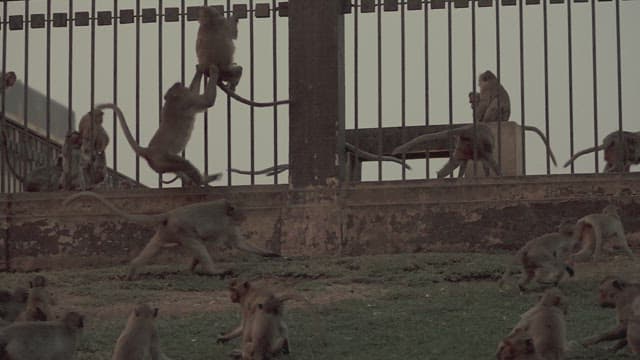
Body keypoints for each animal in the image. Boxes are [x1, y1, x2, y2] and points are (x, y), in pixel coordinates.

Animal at [63, 191, 280, 282]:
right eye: (240, 211)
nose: (245, 216)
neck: (226, 212)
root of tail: (169, 214)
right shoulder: (223, 226)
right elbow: (218, 243)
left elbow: (239, 244)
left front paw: (270, 254)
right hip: (181, 230)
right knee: (198, 245)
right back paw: (213, 271)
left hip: (166, 232)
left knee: (154, 248)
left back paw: (132, 270)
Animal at [92, 66, 222, 188]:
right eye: (175, 86)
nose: (178, 82)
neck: (171, 100)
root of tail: (147, 152)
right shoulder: (187, 100)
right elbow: (207, 100)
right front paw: (214, 70)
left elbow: (195, 90)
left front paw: (199, 70)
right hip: (165, 159)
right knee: (185, 164)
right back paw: (203, 180)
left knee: (180, 168)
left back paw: (189, 180)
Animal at [390, 122, 556, 179]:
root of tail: (468, 130)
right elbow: (487, 161)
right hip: (476, 145)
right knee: (489, 158)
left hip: (463, 147)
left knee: (458, 161)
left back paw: (441, 176)